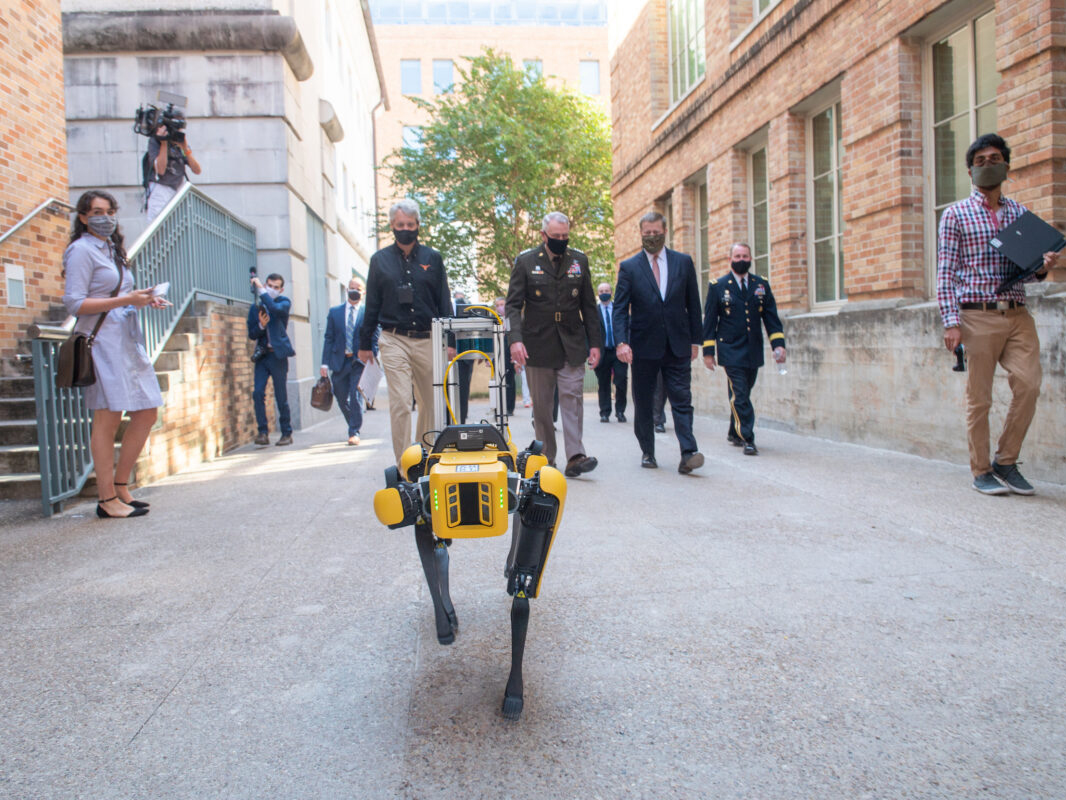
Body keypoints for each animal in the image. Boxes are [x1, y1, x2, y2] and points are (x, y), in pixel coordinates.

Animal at [370, 307, 567, 721]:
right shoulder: (416, 489)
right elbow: (428, 553)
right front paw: (446, 622)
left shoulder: (538, 489)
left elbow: (525, 582)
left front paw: (513, 693)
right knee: (438, 551)